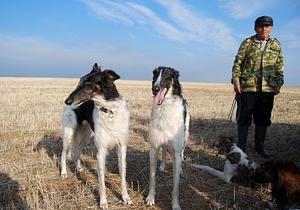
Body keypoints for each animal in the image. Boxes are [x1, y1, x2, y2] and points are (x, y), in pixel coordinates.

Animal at [60, 63, 132, 209]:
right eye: (79, 81)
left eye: (89, 83)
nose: (67, 101)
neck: (109, 110)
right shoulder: (101, 152)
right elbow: (101, 181)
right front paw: (103, 202)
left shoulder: (122, 148)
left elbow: (123, 176)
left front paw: (125, 197)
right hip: (69, 134)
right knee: (64, 153)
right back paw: (64, 172)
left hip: (86, 135)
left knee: (78, 151)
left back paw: (78, 168)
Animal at [146, 66, 191, 209]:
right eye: (155, 75)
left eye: (167, 76)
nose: (154, 89)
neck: (164, 108)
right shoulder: (154, 147)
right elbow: (152, 177)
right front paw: (150, 198)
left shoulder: (176, 151)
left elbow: (175, 185)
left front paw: (175, 204)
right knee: (165, 148)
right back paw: (162, 165)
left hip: (185, 139)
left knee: (182, 153)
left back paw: (181, 168)